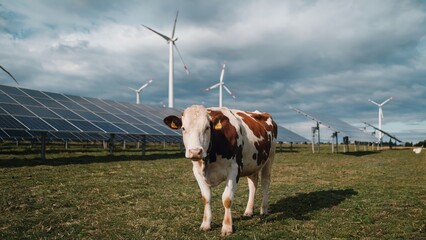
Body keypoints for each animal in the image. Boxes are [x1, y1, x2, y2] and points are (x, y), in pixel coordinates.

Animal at [162, 105, 276, 236]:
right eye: (183, 128)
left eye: (207, 127)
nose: (195, 152)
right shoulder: (197, 171)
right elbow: (206, 198)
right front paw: (205, 224)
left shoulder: (234, 169)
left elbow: (227, 199)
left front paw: (227, 227)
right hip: (253, 163)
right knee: (253, 184)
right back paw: (248, 211)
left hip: (269, 157)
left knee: (265, 183)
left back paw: (264, 209)